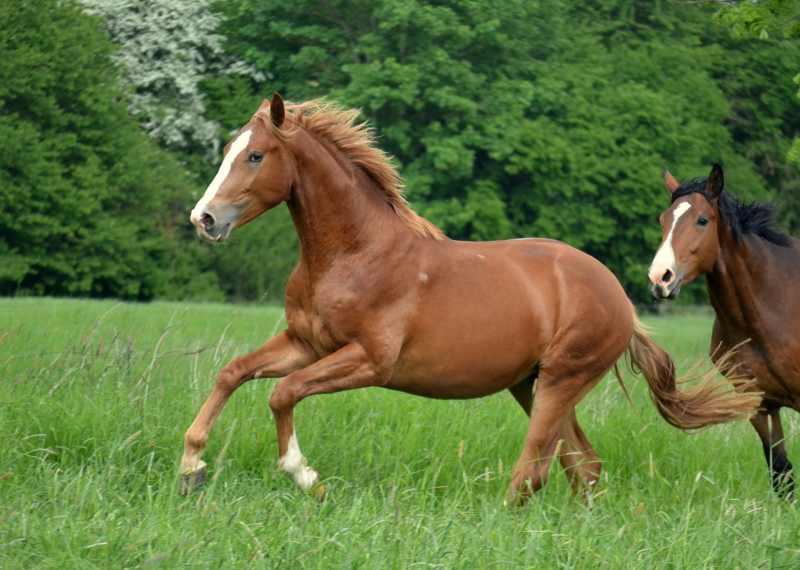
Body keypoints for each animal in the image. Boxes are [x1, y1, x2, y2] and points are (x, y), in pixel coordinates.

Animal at [178, 95, 760, 504]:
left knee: (535, 470)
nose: (203, 218)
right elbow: (233, 373)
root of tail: (621, 296)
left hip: (561, 381)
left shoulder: (368, 360)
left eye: (256, 155)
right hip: (534, 385)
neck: (354, 253)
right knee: (582, 466)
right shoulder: (306, 343)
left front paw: (307, 478)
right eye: (227, 151)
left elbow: (283, 394)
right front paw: (191, 467)